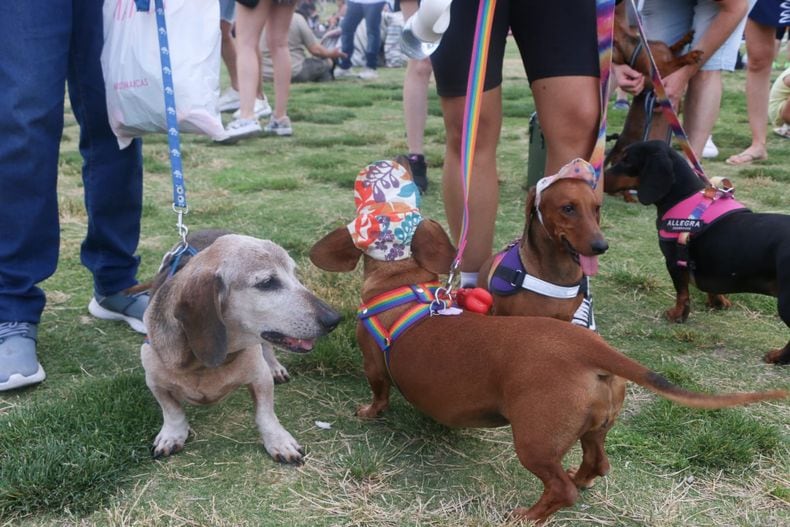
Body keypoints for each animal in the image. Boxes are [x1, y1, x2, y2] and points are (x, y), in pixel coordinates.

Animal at [142, 231, 340, 462]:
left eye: (295, 274)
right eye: (267, 282)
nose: (335, 319)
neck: (203, 366)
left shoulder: (260, 377)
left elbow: (265, 415)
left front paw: (278, 440)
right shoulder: (154, 381)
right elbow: (172, 411)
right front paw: (172, 435)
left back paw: (275, 367)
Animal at [310, 216, 784, 524]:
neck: (401, 278)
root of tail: (587, 347)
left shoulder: (374, 365)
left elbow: (379, 391)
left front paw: (368, 413)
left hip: (533, 443)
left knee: (562, 489)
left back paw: (528, 514)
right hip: (594, 429)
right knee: (595, 465)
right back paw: (579, 478)